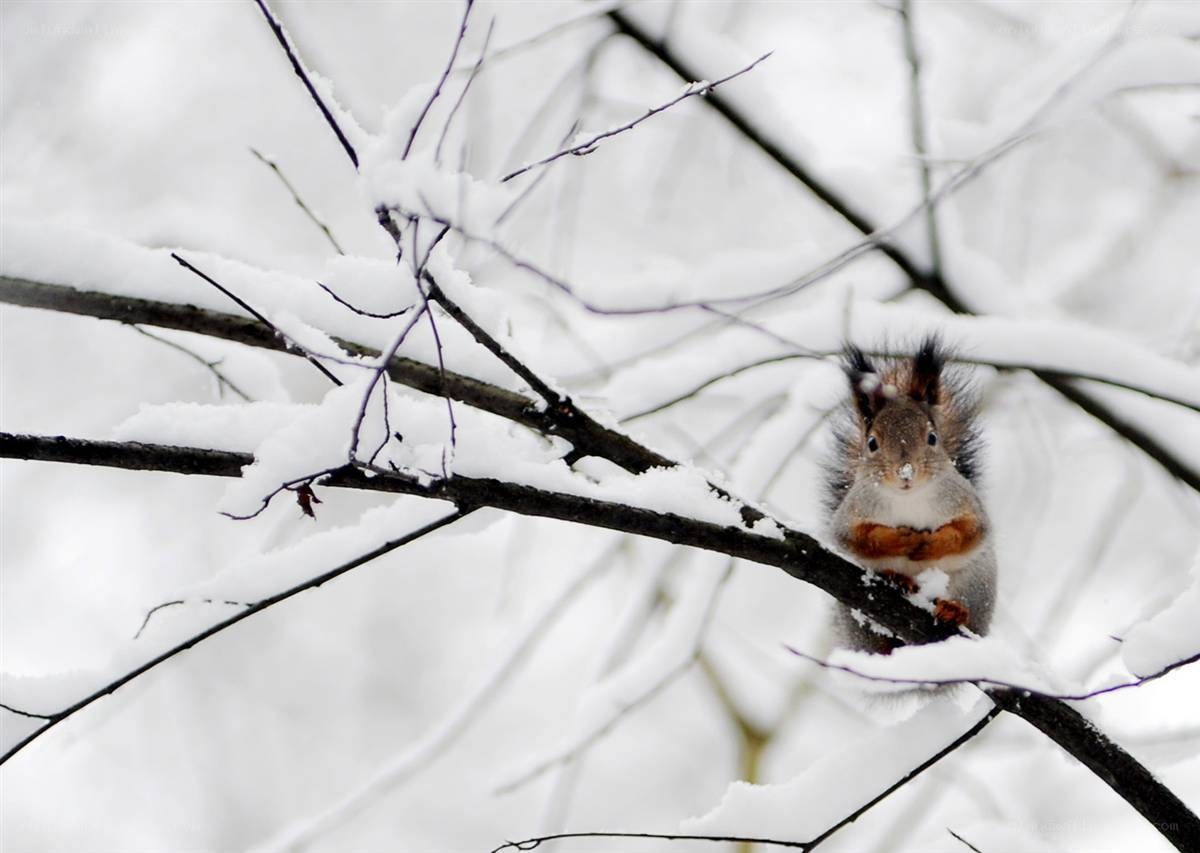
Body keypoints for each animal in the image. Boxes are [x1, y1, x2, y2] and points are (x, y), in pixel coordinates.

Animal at [823, 336, 996, 655]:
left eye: (932, 438)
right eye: (872, 443)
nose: (906, 473)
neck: (909, 498)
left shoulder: (966, 502)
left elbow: (970, 531)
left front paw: (932, 543)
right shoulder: (853, 512)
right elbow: (856, 538)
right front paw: (900, 540)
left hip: (977, 585)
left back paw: (954, 609)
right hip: (856, 617)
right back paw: (898, 580)